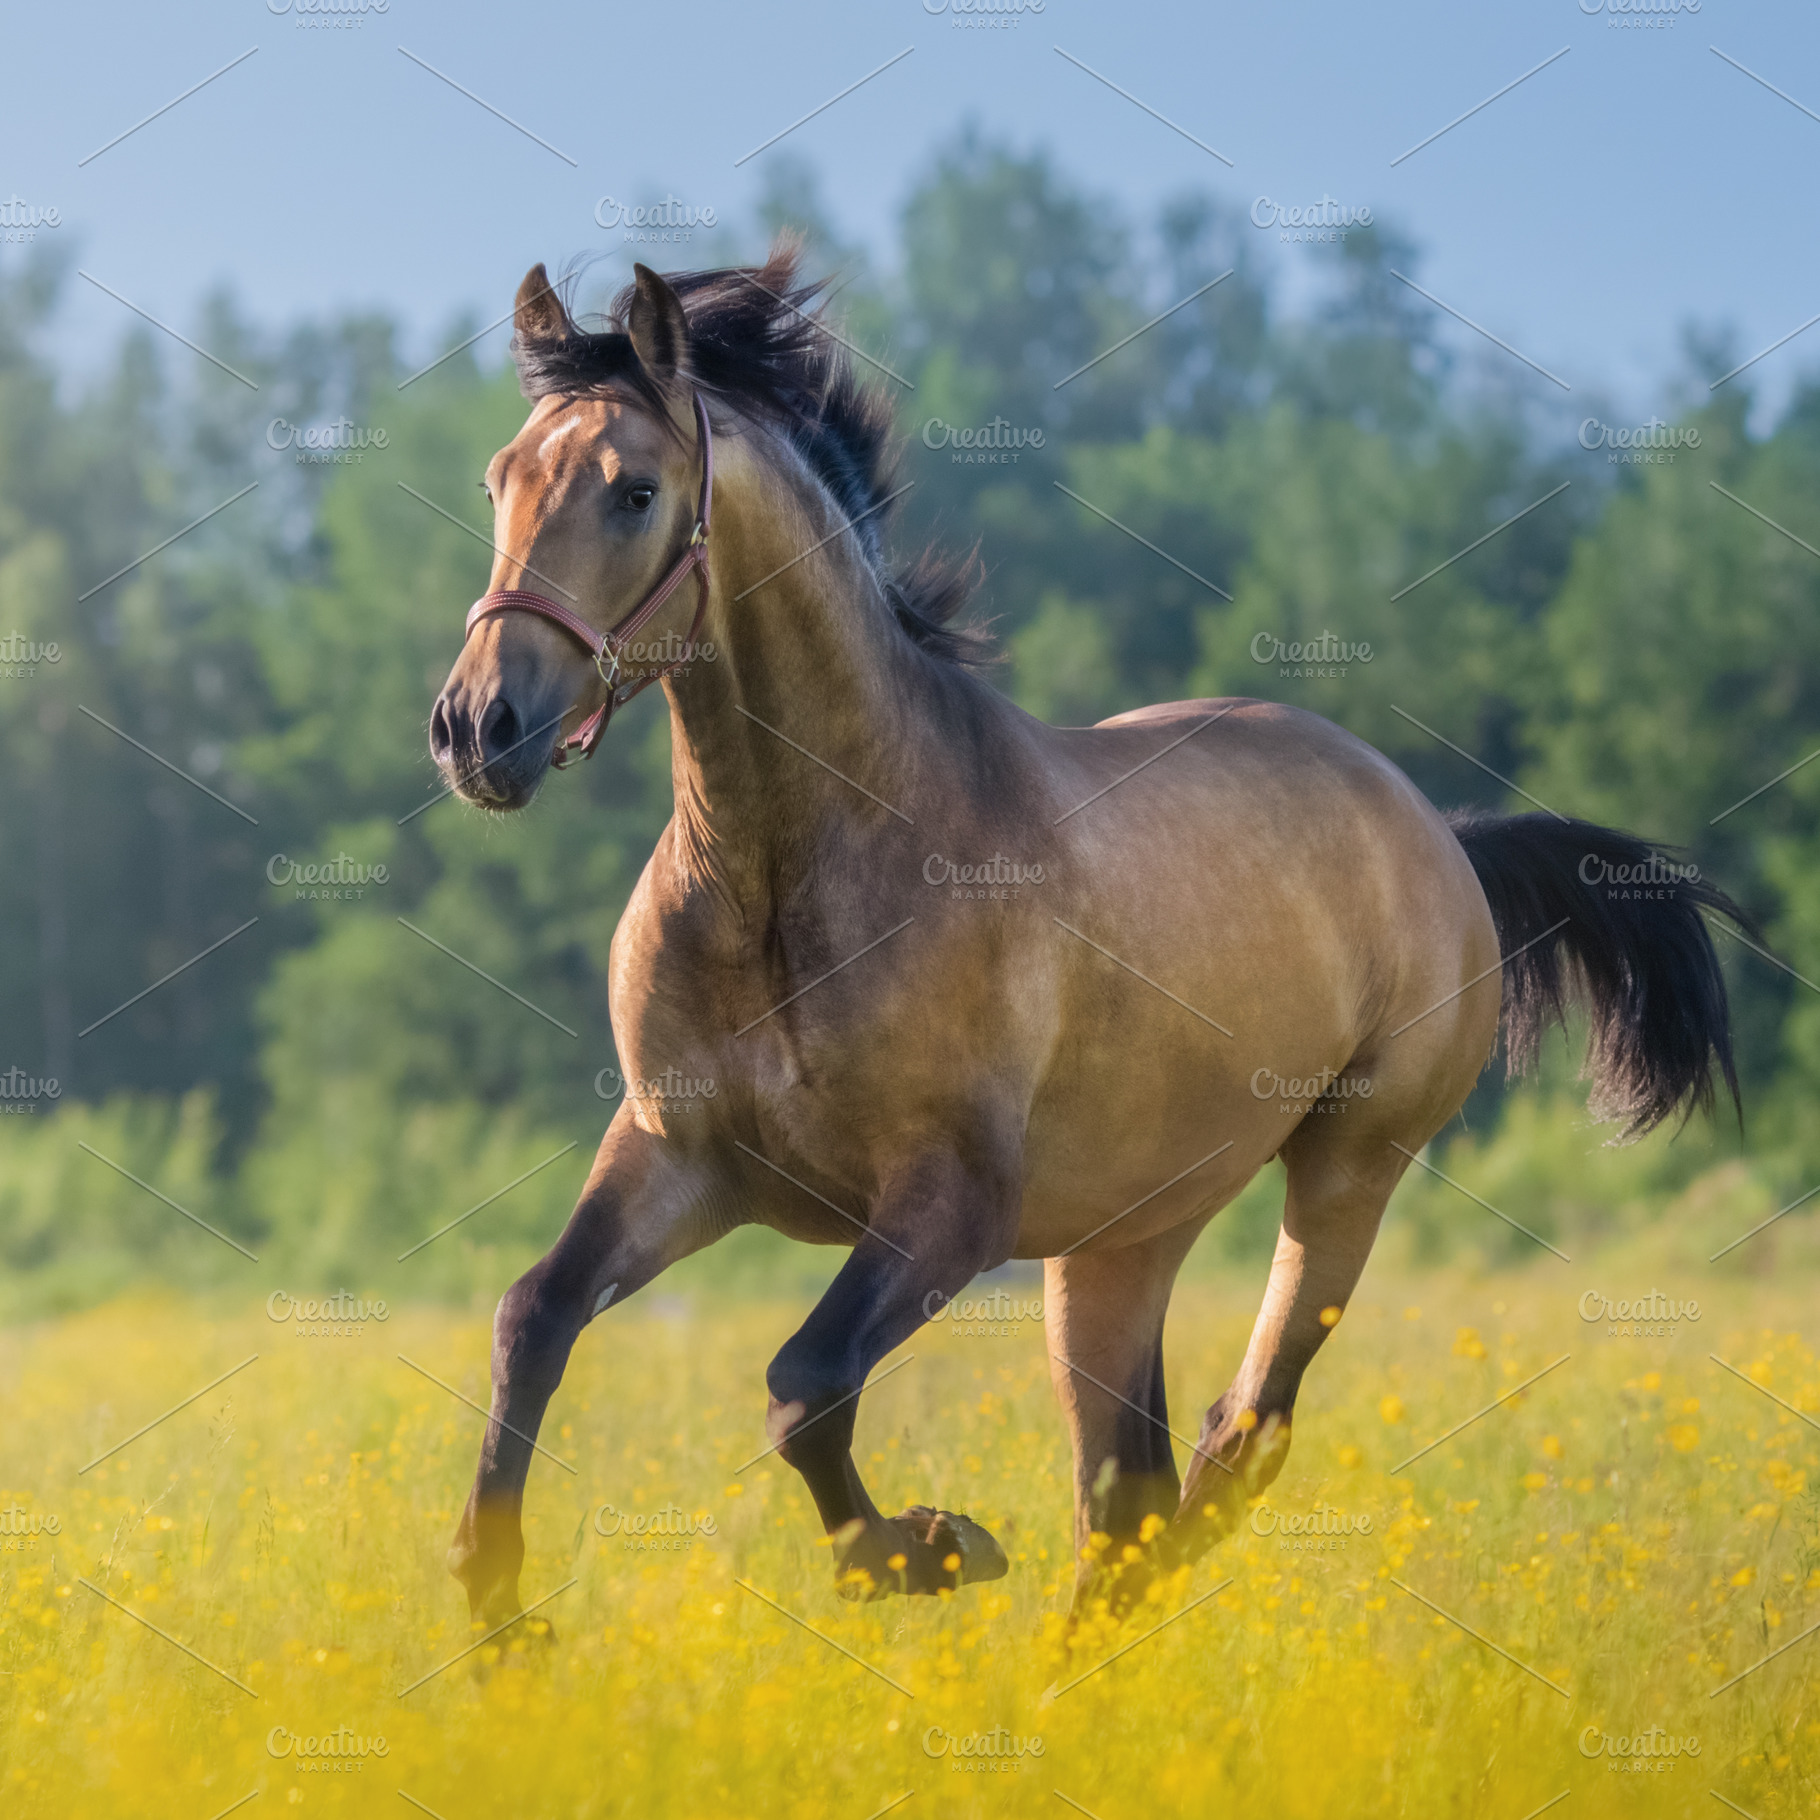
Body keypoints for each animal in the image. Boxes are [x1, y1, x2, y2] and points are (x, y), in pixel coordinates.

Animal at [428, 246, 1748, 1627]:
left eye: (633, 491)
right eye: (501, 478)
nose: (477, 728)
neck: (789, 871)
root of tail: (1438, 832)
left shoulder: (950, 1205)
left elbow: (805, 1384)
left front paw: (925, 1546)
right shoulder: (675, 1154)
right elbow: (532, 1317)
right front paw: (498, 1607)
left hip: (1345, 1170)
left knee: (1236, 1437)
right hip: (1120, 1239)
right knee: (1126, 1487)